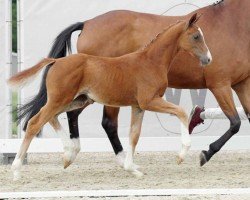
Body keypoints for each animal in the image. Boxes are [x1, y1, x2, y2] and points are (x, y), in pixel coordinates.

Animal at [8, 13, 211, 180]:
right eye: (196, 36)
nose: (208, 59)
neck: (151, 62)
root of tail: (56, 61)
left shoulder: (138, 106)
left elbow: (134, 136)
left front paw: (132, 169)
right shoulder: (149, 101)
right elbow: (181, 112)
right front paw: (181, 155)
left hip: (76, 100)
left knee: (51, 118)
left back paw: (68, 155)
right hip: (61, 99)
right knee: (35, 122)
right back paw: (17, 170)